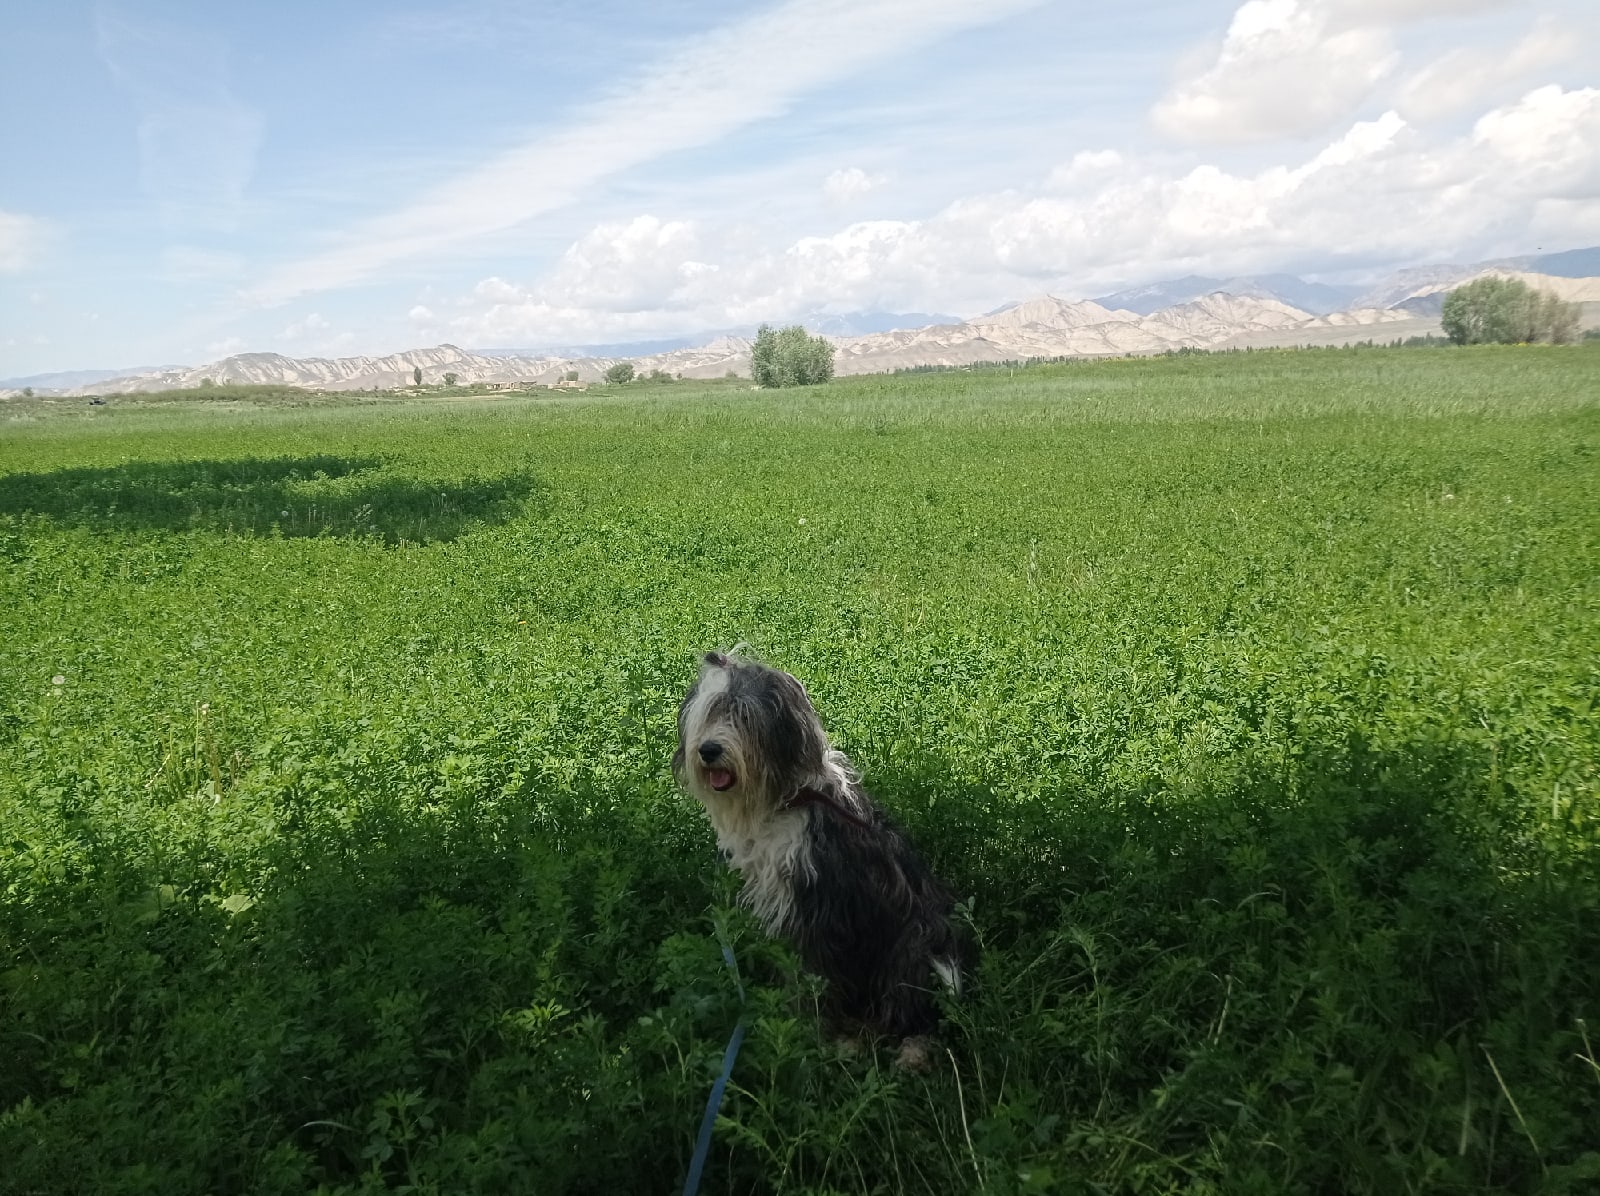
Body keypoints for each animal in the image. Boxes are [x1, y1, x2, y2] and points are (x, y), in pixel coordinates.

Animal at [672, 651, 966, 1067]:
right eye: (709, 713)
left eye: (744, 716)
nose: (709, 751)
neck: (787, 801)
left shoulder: (819, 909)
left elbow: (815, 976)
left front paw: (811, 1031)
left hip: (918, 943)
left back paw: (909, 1050)